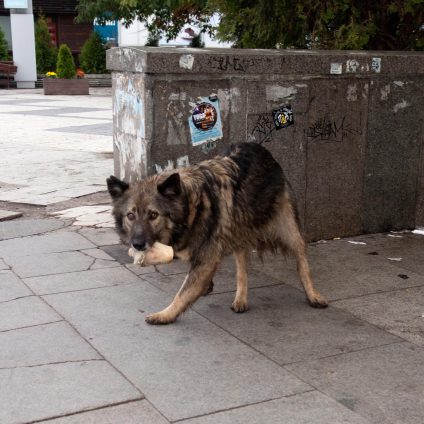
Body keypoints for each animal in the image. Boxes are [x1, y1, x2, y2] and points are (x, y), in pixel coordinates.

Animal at [107, 142, 328, 324]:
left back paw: (313, 295)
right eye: (130, 215)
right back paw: (240, 298)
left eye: (153, 215)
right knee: (242, 266)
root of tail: (261, 149)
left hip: (289, 230)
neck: (191, 205)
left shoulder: (206, 257)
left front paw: (165, 314)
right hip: (239, 229)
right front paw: (206, 287)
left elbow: (183, 293)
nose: (137, 244)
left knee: (302, 262)